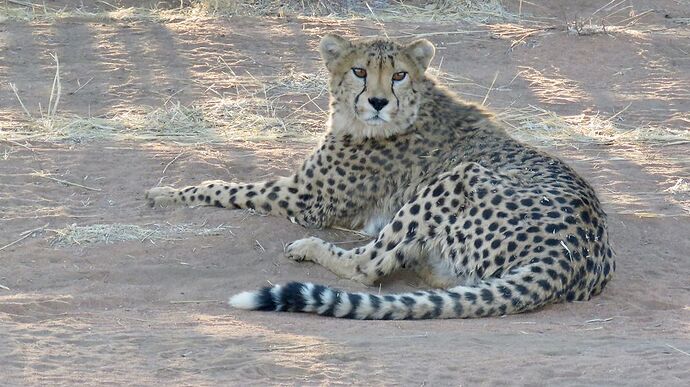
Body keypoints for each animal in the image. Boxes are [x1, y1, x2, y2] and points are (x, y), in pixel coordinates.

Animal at [146, 34, 612, 318]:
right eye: (359, 71)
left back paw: (311, 247)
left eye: (399, 74)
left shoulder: (305, 198)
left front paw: (167, 192)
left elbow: (224, 187)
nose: (377, 101)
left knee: (367, 266)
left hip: (456, 179)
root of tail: (572, 253)